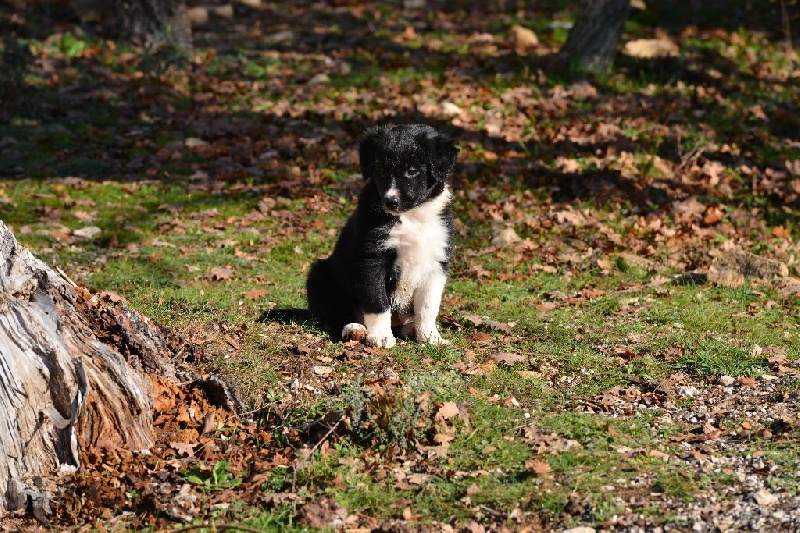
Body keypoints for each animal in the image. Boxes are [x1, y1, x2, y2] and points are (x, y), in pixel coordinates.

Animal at [304, 123, 456, 348]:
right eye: (382, 170)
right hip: (320, 274)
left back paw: (410, 328)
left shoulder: (436, 261)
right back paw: (354, 328)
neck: (411, 217)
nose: (390, 201)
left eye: (412, 171)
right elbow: (378, 301)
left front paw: (430, 337)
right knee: (336, 314)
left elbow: (428, 306)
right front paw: (381, 336)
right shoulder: (372, 258)